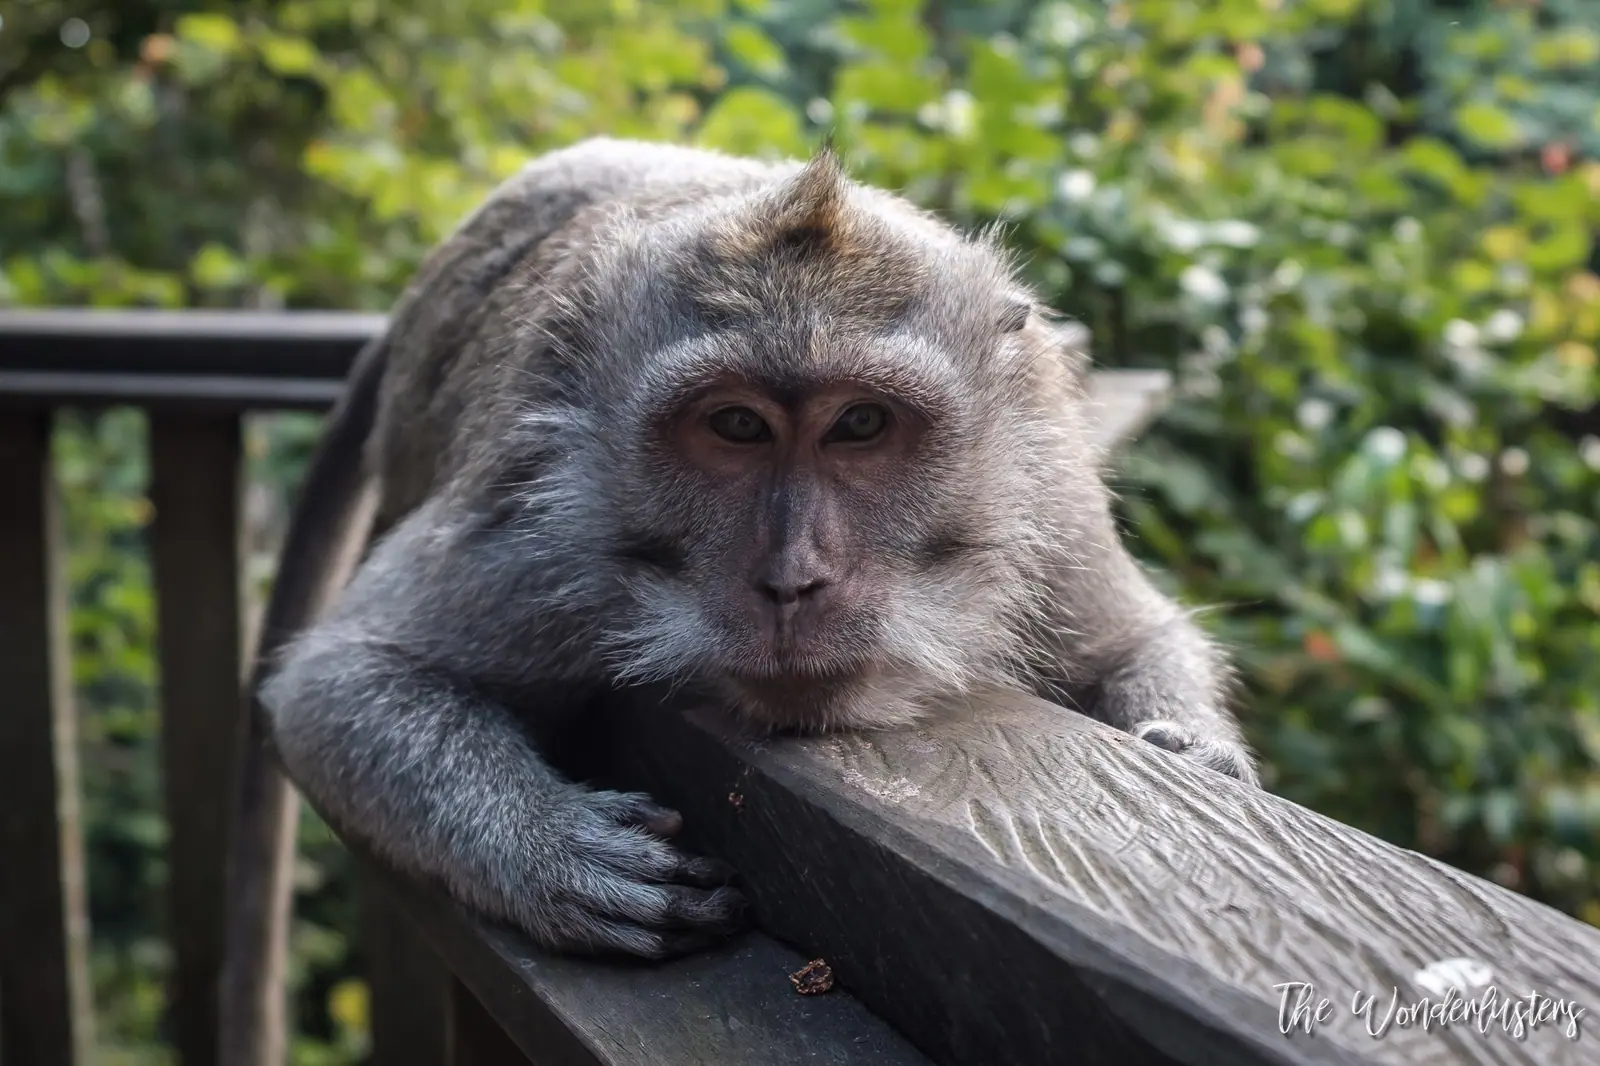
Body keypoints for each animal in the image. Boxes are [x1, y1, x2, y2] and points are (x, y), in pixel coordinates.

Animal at [243, 136, 1258, 975]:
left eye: (859, 425)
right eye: (736, 425)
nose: (791, 580)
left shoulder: (1047, 498)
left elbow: (1130, 641)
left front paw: (1195, 751)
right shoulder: (540, 530)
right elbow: (340, 681)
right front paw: (552, 849)